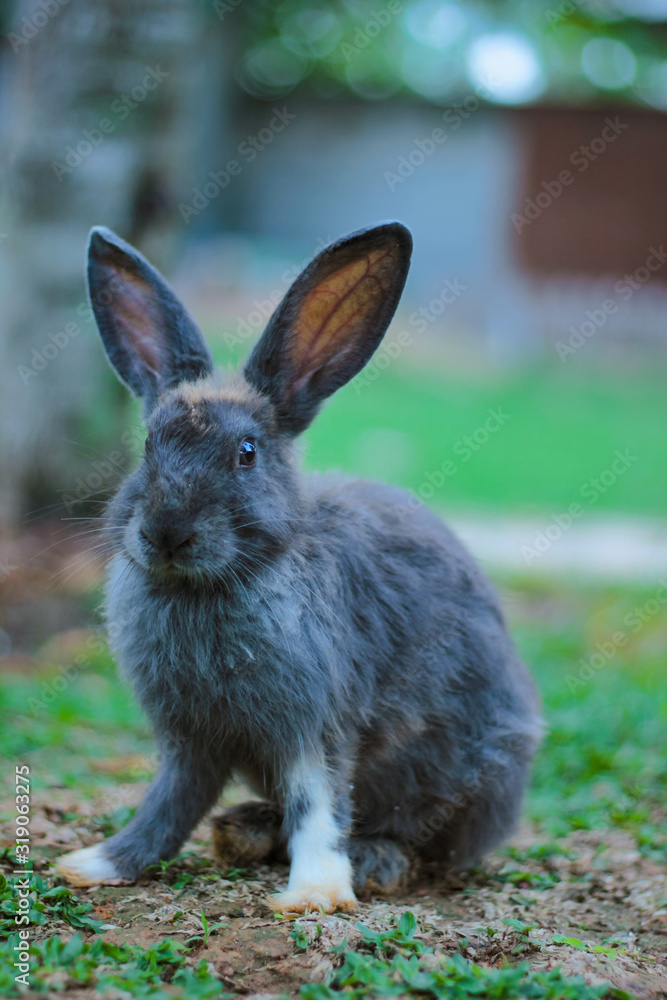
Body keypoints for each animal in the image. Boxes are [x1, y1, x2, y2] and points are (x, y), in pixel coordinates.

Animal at [55, 222, 541, 914]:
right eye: (148, 445)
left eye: (246, 453)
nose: (166, 532)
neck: (211, 586)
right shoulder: (189, 742)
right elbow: (169, 803)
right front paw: (96, 864)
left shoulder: (314, 722)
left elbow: (319, 800)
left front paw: (315, 894)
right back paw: (244, 831)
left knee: (425, 843)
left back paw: (373, 861)